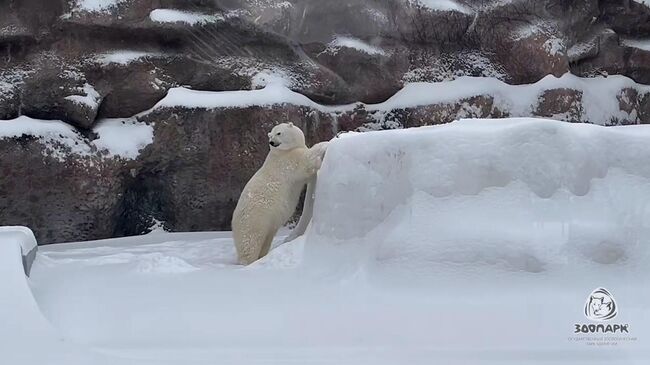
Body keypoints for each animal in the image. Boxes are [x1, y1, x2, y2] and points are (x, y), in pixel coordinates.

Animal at [232, 122, 326, 264]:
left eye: (279, 133)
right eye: (271, 135)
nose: (272, 142)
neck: (281, 152)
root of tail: (233, 222)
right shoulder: (286, 161)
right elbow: (305, 160)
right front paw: (325, 144)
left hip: (267, 224)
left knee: (266, 240)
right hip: (253, 219)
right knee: (250, 242)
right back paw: (248, 261)